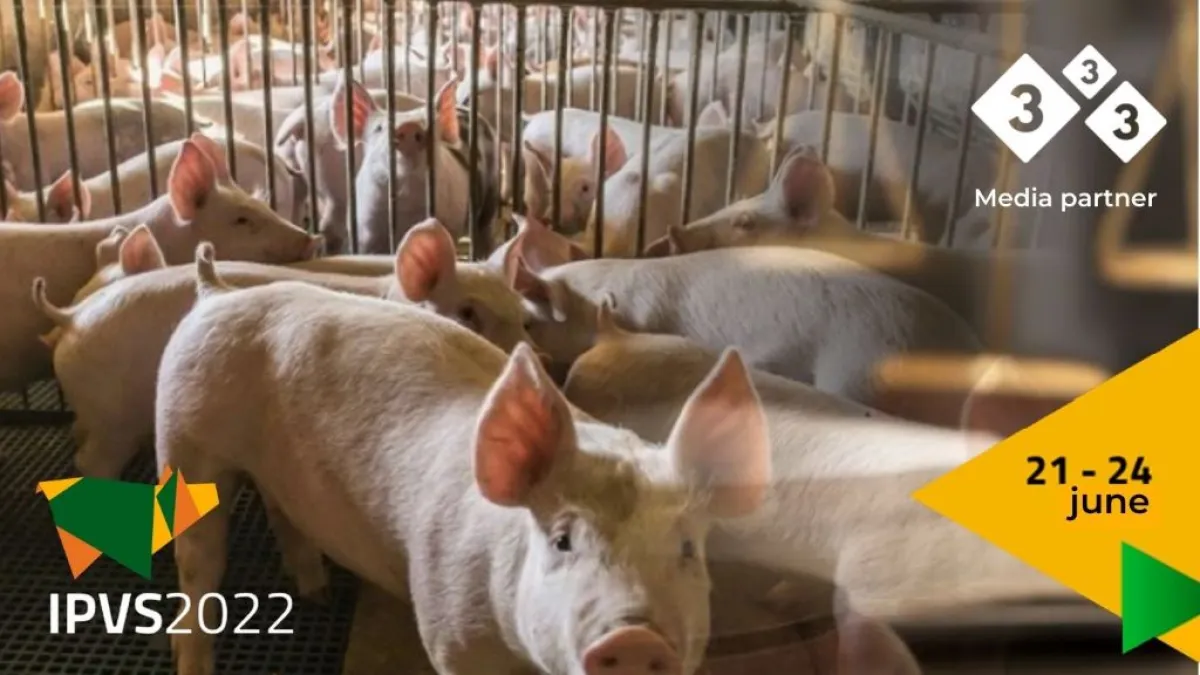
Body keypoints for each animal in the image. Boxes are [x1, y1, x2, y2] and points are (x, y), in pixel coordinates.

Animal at [157, 250, 771, 674]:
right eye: (562, 541)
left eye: (687, 549)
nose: (636, 638)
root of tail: (214, 291)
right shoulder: (450, 626)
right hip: (184, 438)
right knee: (198, 565)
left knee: (282, 508)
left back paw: (317, 591)